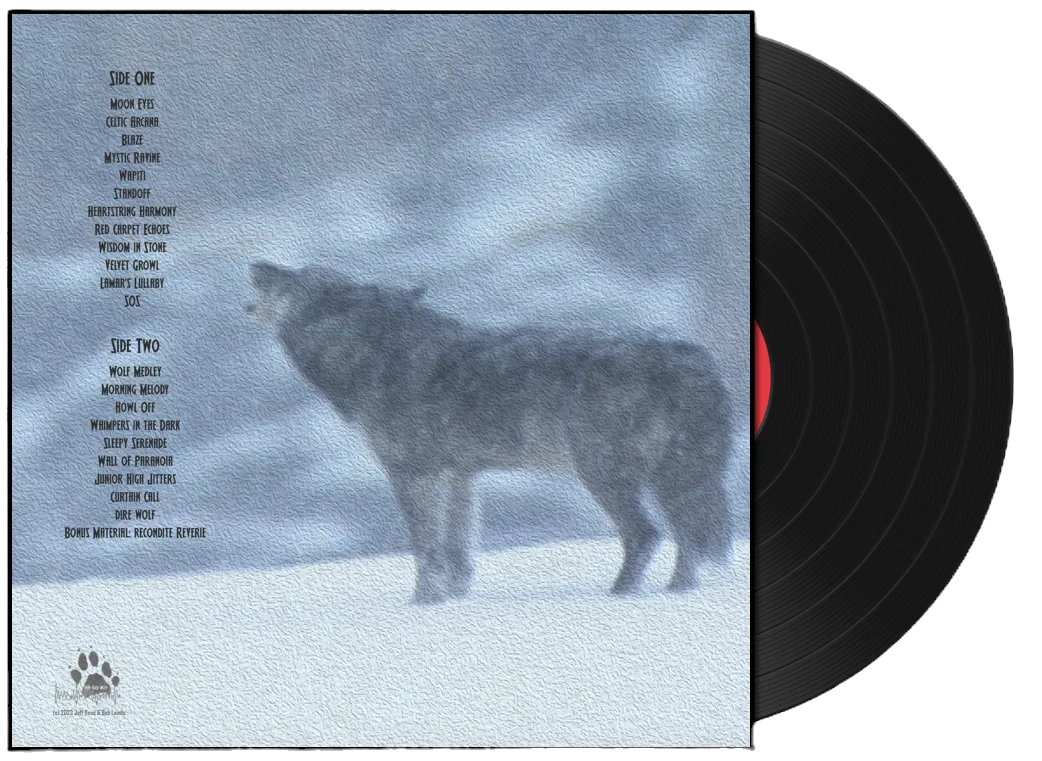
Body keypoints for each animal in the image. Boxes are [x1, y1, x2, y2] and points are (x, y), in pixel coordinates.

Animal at [246, 261, 737, 604]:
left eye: (295, 277)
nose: (256, 263)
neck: (373, 357)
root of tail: (695, 359)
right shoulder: (459, 475)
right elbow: (457, 551)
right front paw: (455, 600)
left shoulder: (413, 473)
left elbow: (426, 550)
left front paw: (423, 604)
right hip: (669, 477)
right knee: (687, 537)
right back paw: (678, 593)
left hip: (603, 474)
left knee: (648, 535)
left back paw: (619, 597)